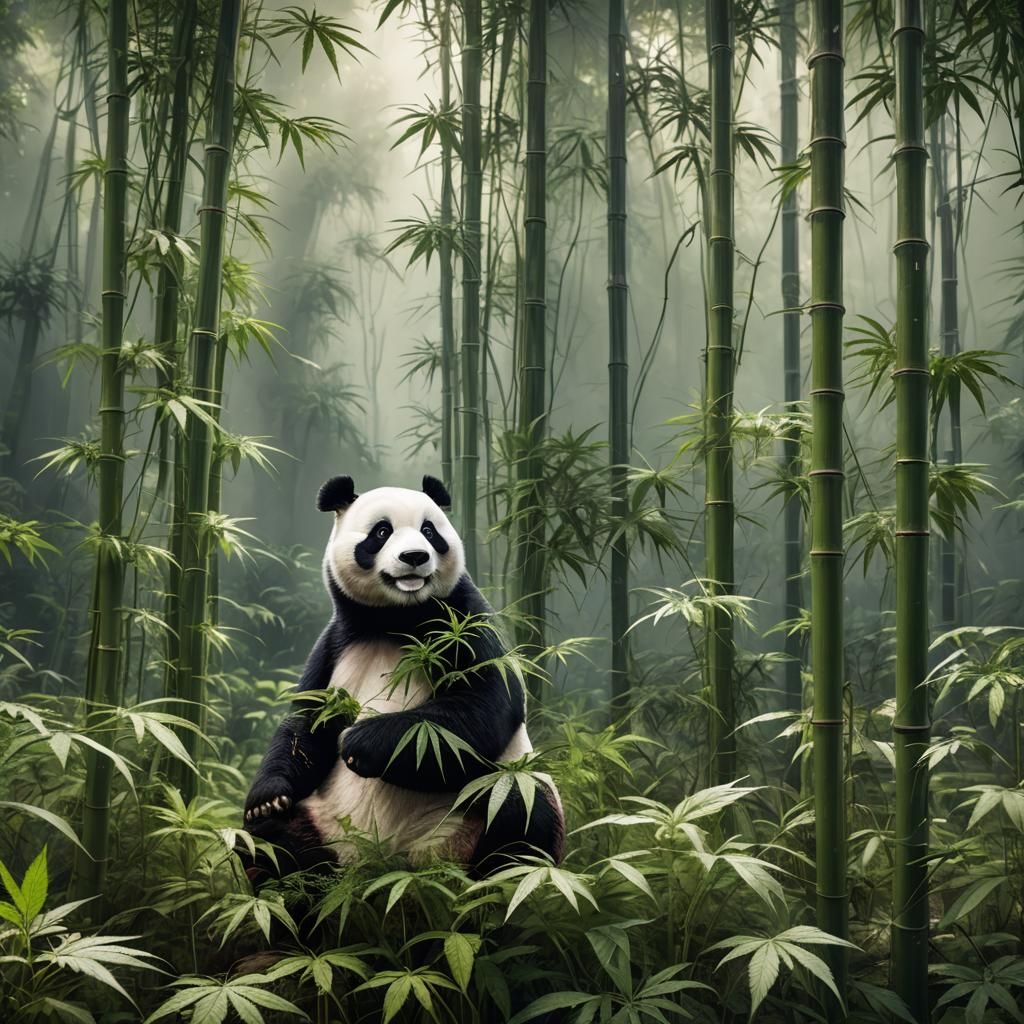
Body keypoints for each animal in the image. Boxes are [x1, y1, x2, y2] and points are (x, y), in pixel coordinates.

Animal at [242, 474, 564, 881]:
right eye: (382, 532)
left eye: (429, 531)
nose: (415, 557)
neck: (396, 619)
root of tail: (390, 866)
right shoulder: (334, 644)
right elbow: (305, 724)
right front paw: (266, 799)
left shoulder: (464, 617)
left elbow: (481, 706)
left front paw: (357, 742)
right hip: (324, 824)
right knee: (269, 844)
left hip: (482, 803)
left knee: (521, 810)